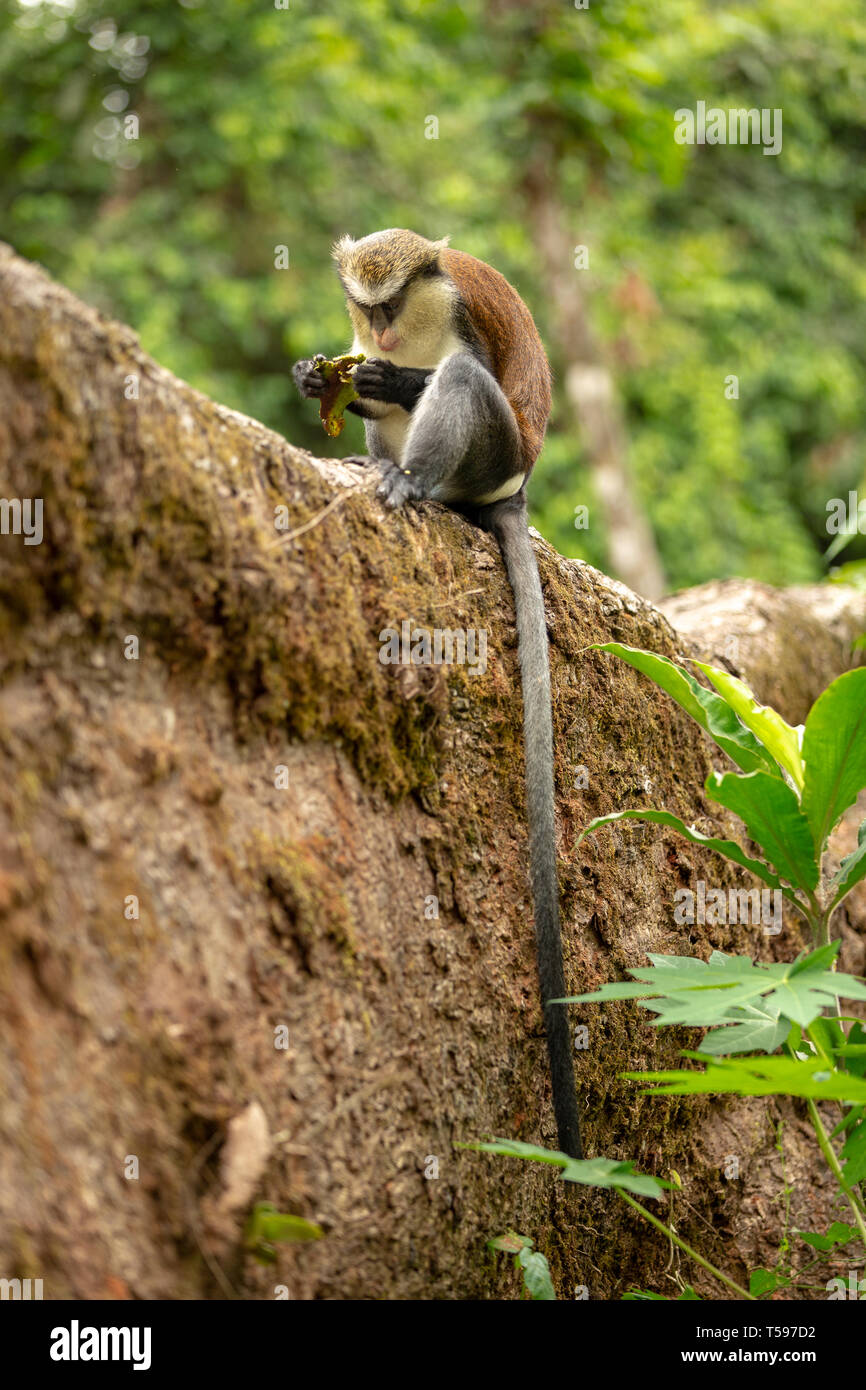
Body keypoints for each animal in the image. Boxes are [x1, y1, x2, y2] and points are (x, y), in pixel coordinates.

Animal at [294, 230, 586, 1162]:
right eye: (368, 306)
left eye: (394, 304)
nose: (382, 336)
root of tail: (513, 491)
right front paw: (318, 378)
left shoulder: (458, 313)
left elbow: (446, 375)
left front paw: (391, 382)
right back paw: (370, 458)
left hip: (492, 454)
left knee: (460, 386)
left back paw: (413, 481)